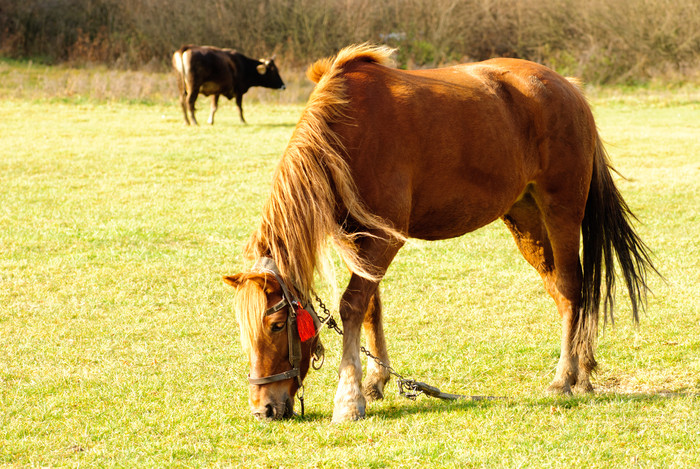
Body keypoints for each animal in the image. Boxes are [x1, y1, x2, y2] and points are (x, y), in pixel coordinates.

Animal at [223, 45, 656, 422]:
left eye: (277, 326)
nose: (263, 409)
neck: (346, 133)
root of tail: (569, 87)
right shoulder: (360, 240)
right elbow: (371, 308)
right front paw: (376, 380)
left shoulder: (385, 238)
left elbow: (351, 306)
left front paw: (349, 399)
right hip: (526, 218)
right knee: (564, 290)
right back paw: (582, 371)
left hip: (561, 210)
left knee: (570, 288)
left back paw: (564, 377)